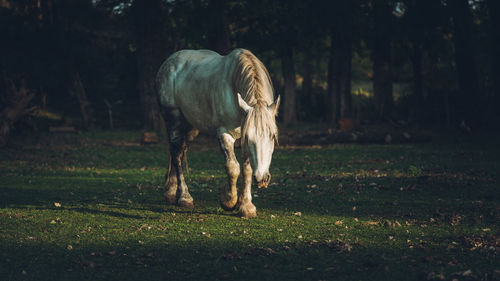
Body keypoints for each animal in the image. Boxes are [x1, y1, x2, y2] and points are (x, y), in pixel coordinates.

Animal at [156, 48, 280, 218]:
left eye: (273, 136)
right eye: (249, 138)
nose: (262, 178)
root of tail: (168, 63)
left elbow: (247, 170)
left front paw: (246, 206)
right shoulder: (225, 133)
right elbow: (233, 168)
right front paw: (229, 201)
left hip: (191, 127)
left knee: (180, 152)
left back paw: (171, 192)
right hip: (174, 121)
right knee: (176, 155)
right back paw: (184, 197)